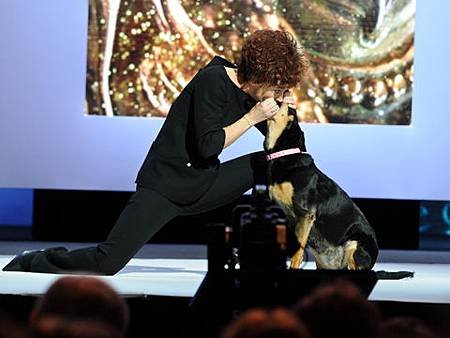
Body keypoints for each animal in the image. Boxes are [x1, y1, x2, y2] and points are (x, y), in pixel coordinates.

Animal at [266, 100, 378, 270]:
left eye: (286, 106)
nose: (280, 97)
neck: (285, 154)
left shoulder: (306, 214)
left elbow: (297, 253)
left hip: (355, 244)